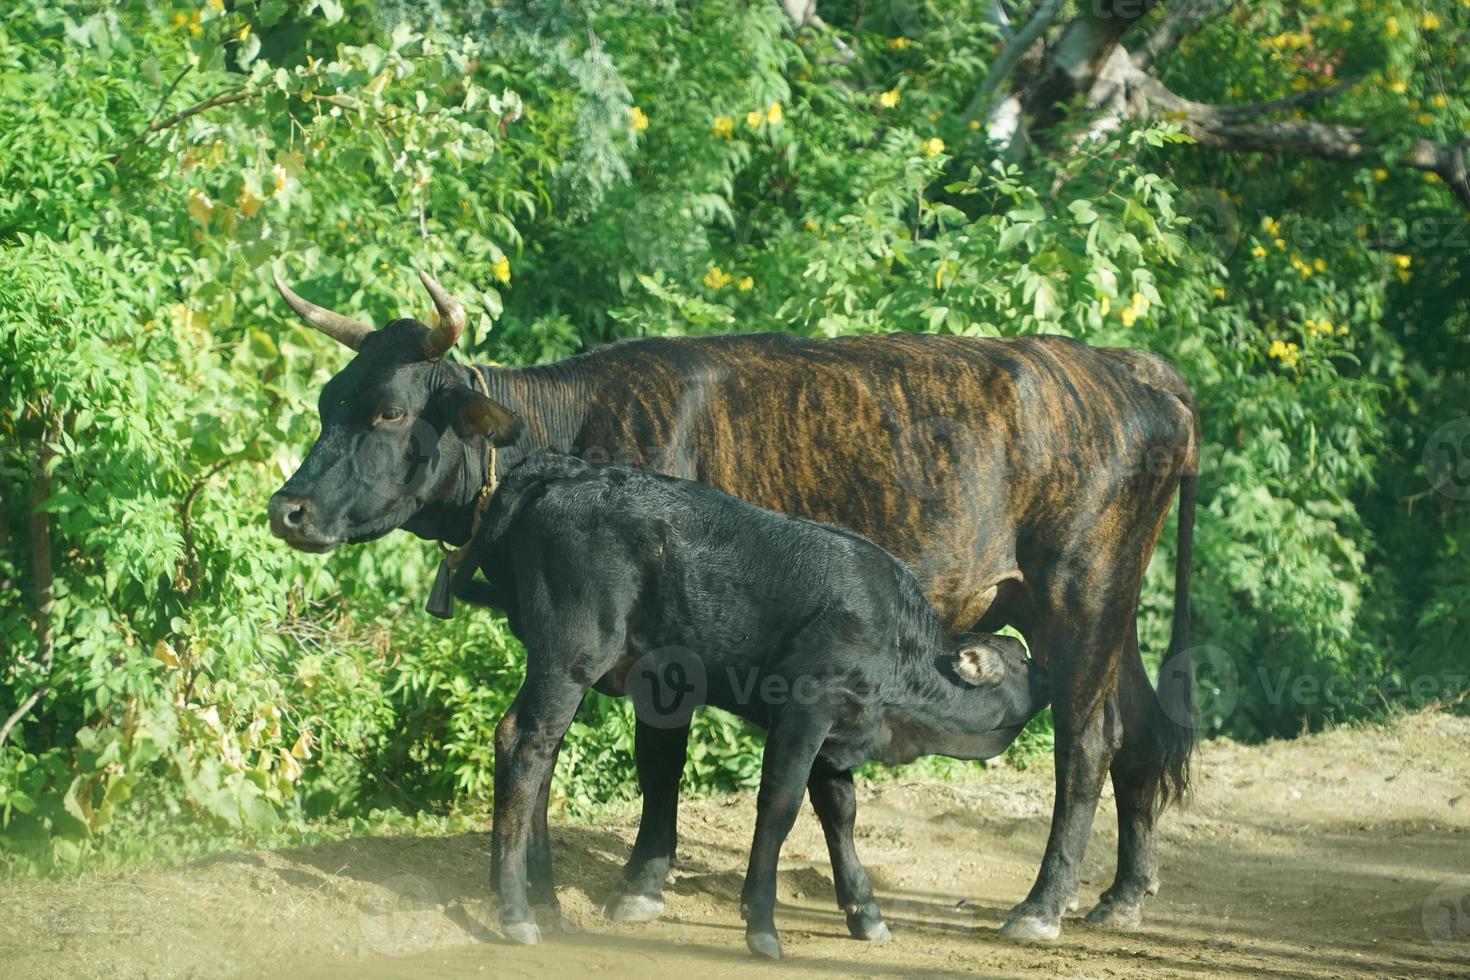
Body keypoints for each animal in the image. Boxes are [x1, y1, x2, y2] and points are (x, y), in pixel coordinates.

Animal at [270, 270, 1199, 940]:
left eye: (390, 411)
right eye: (324, 403)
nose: (289, 509)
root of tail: (1128, 366)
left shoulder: (663, 655)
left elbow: (659, 762)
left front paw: (639, 886)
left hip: (1083, 598)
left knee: (1087, 742)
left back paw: (1041, 907)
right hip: (1097, 614)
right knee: (1141, 733)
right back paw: (1123, 895)